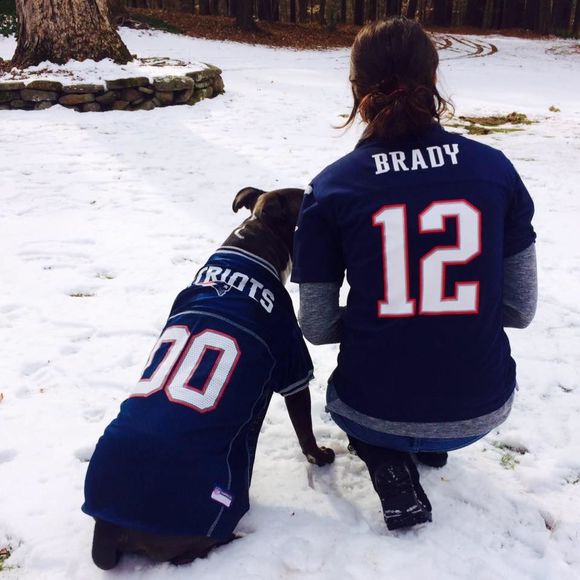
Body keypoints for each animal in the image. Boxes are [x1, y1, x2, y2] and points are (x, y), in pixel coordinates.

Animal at [82, 187, 335, 570]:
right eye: (306, 198)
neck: (254, 244)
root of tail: (107, 527)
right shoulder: (293, 368)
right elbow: (304, 429)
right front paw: (320, 456)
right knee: (189, 553)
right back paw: (233, 538)